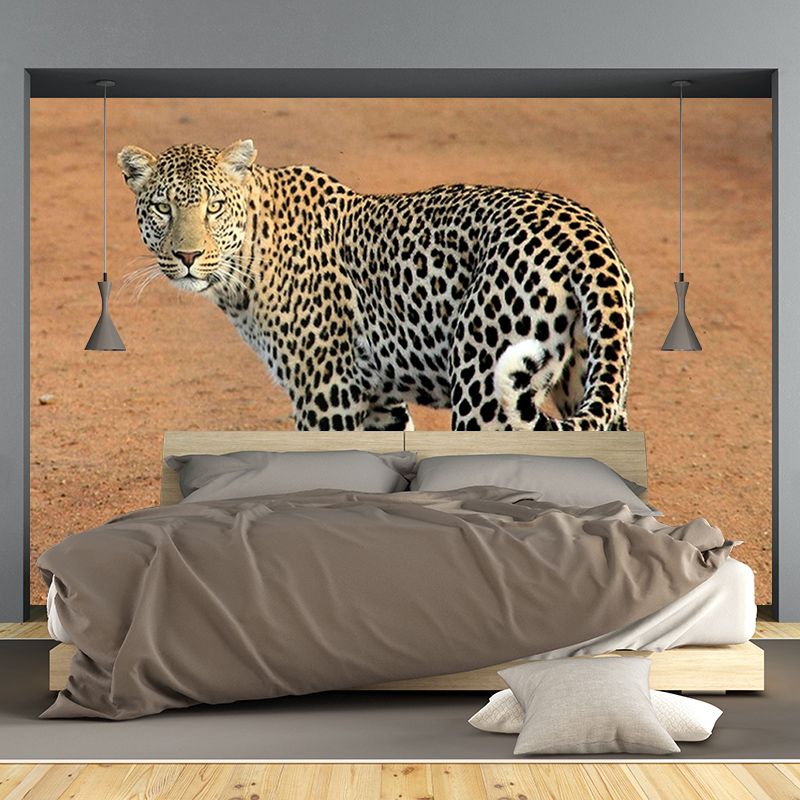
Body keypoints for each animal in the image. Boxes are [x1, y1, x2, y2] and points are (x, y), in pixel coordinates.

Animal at [118, 139, 634, 432]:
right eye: (163, 207)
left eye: (214, 207)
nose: (187, 257)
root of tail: (585, 232)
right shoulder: (379, 402)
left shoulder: (326, 394)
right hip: (591, 380)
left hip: (484, 395)